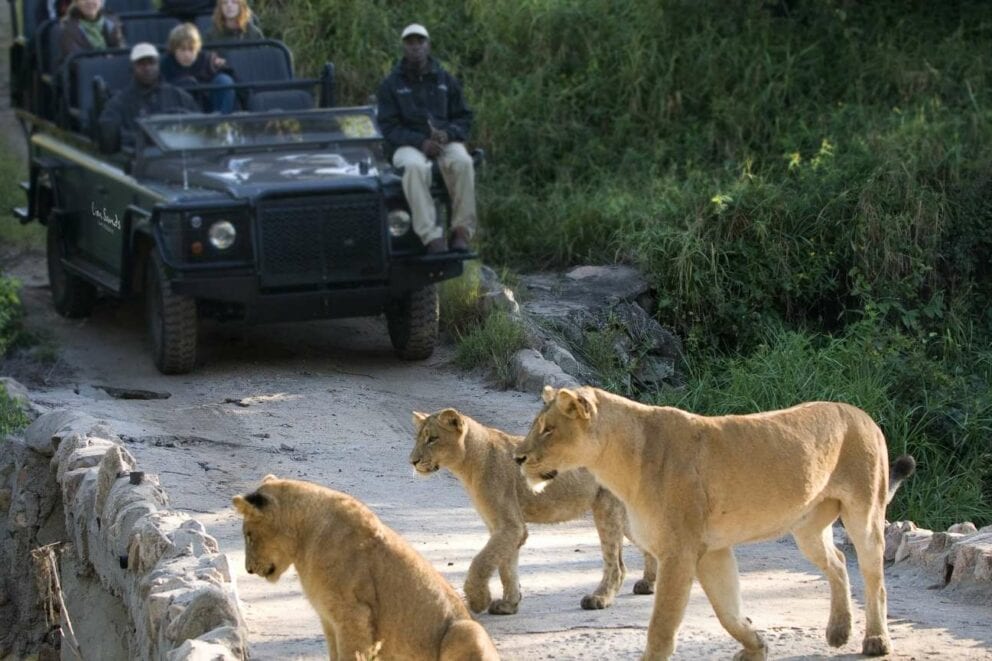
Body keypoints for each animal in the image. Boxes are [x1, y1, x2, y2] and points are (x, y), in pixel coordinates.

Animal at [232, 475, 499, 661]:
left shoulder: (354, 615)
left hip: (467, 630)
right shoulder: (329, 620)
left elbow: (349, 655)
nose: (248, 569)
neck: (305, 537)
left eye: (248, 535)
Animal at [411, 408, 657, 615]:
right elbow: (506, 566)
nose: (413, 461)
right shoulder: (503, 527)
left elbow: (481, 562)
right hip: (624, 516)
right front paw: (509, 604)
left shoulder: (511, 526)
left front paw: (478, 600)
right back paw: (648, 584)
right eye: (418, 438)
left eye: (432, 439)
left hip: (606, 507)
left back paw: (600, 598)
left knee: (616, 564)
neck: (468, 461)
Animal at [514, 386, 916, 661]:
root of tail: (863, 415)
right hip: (806, 528)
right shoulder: (712, 550)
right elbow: (728, 612)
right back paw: (838, 630)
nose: (517, 457)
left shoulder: (679, 551)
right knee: (838, 562)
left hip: (864, 514)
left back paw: (875, 640)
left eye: (548, 429)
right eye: (536, 427)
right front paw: (756, 645)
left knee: (874, 577)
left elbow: (662, 625)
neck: (617, 460)